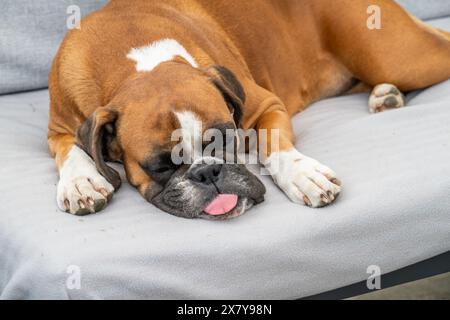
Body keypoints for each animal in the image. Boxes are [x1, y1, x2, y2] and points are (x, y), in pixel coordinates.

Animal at [48, 0, 450, 219]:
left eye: (227, 141)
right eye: (161, 166)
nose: (207, 172)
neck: (136, 63)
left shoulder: (266, 105)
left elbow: (274, 144)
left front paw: (302, 174)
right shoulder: (57, 129)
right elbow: (71, 148)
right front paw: (80, 181)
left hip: (399, 57)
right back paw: (385, 95)